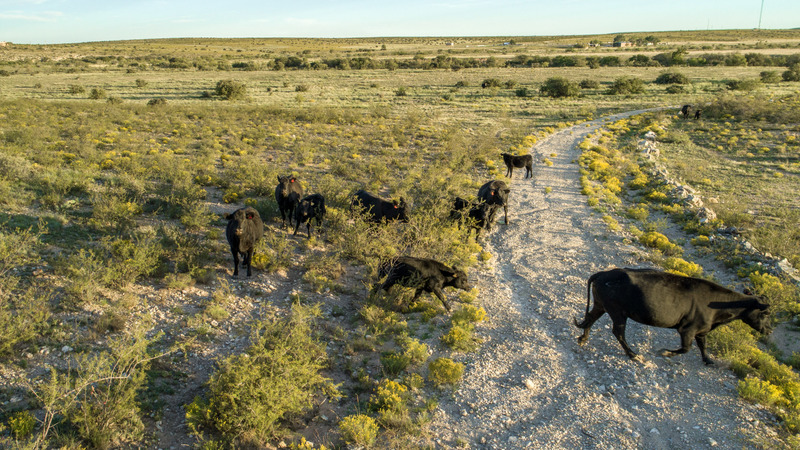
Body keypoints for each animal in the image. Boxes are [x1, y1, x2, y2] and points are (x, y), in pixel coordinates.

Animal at [572, 268, 772, 364]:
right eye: (765, 313)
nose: (769, 330)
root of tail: (605, 273)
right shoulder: (688, 329)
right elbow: (686, 348)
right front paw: (664, 352)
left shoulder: (702, 330)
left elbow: (703, 346)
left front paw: (708, 360)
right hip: (617, 312)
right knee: (617, 332)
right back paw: (633, 354)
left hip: (601, 305)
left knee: (590, 318)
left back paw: (583, 339)